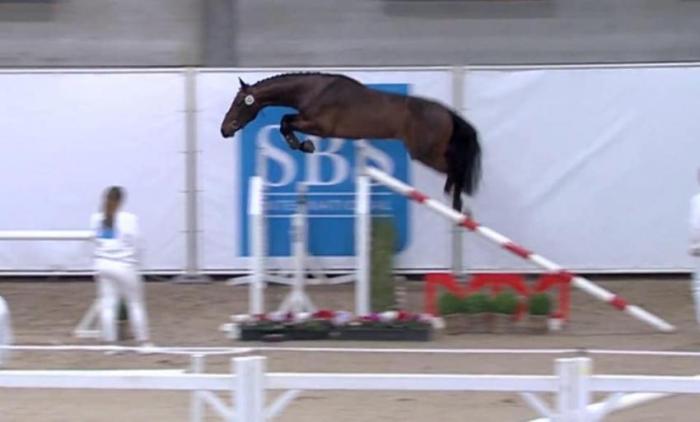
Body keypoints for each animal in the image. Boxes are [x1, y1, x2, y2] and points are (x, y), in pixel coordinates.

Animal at [220, 72, 481, 211]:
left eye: (239, 103)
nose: (224, 130)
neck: (313, 91)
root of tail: (448, 113)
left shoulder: (320, 127)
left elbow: (286, 122)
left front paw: (304, 145)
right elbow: (286, 121)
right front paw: (303, 145)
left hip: (424, 153)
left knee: (455, 166)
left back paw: (456, 201)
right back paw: (454, 199)